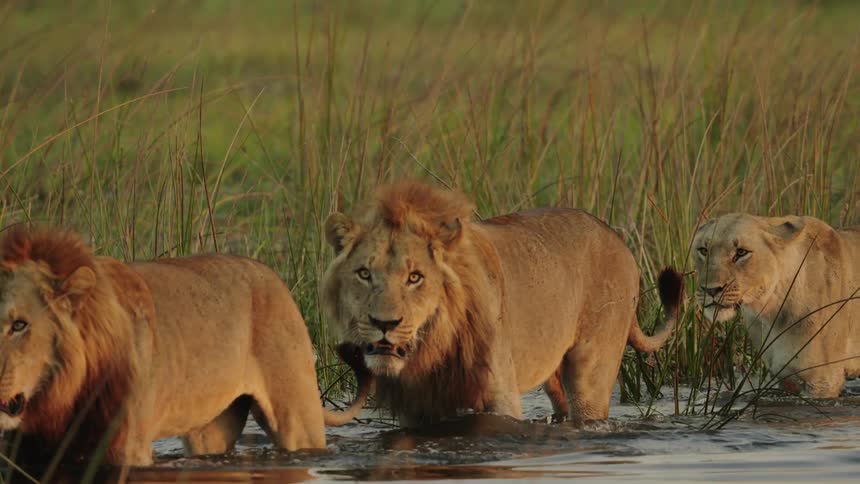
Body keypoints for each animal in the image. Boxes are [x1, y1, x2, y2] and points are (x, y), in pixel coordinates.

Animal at [0, 226, 371, 468]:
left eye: (19, 325)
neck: (58, 395)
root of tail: (274, 277)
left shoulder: (127, 448)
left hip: (297, 418)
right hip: (210, 427)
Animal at [320, 181, 683, 426]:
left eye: (414, 277)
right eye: (364, 274)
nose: (384, 324)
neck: (432, 346)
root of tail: (616, 237)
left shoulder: (501, 396)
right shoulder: (416, 409)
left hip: (591, 371)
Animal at [692, 213, 860, 398]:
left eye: (741, 252)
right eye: (703, 250)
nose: (711, 289)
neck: (770, 312)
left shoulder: (822, 380)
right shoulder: (785, 376)